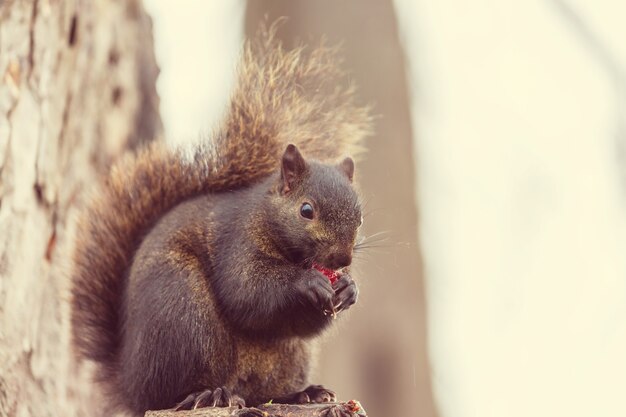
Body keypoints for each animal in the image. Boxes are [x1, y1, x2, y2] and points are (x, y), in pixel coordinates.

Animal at [70, 24, 370, 414]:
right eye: (307, 210)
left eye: (360, 218)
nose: (342, 259)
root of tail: (132, 385)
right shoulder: (235, 242)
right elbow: (246, 291)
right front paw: (306, 282)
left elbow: (301, 322)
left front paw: (348, 288)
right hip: (183, 316)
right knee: (172, 392)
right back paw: (206, 394)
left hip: (288, 358)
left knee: (264, 390)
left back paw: (303, 393)